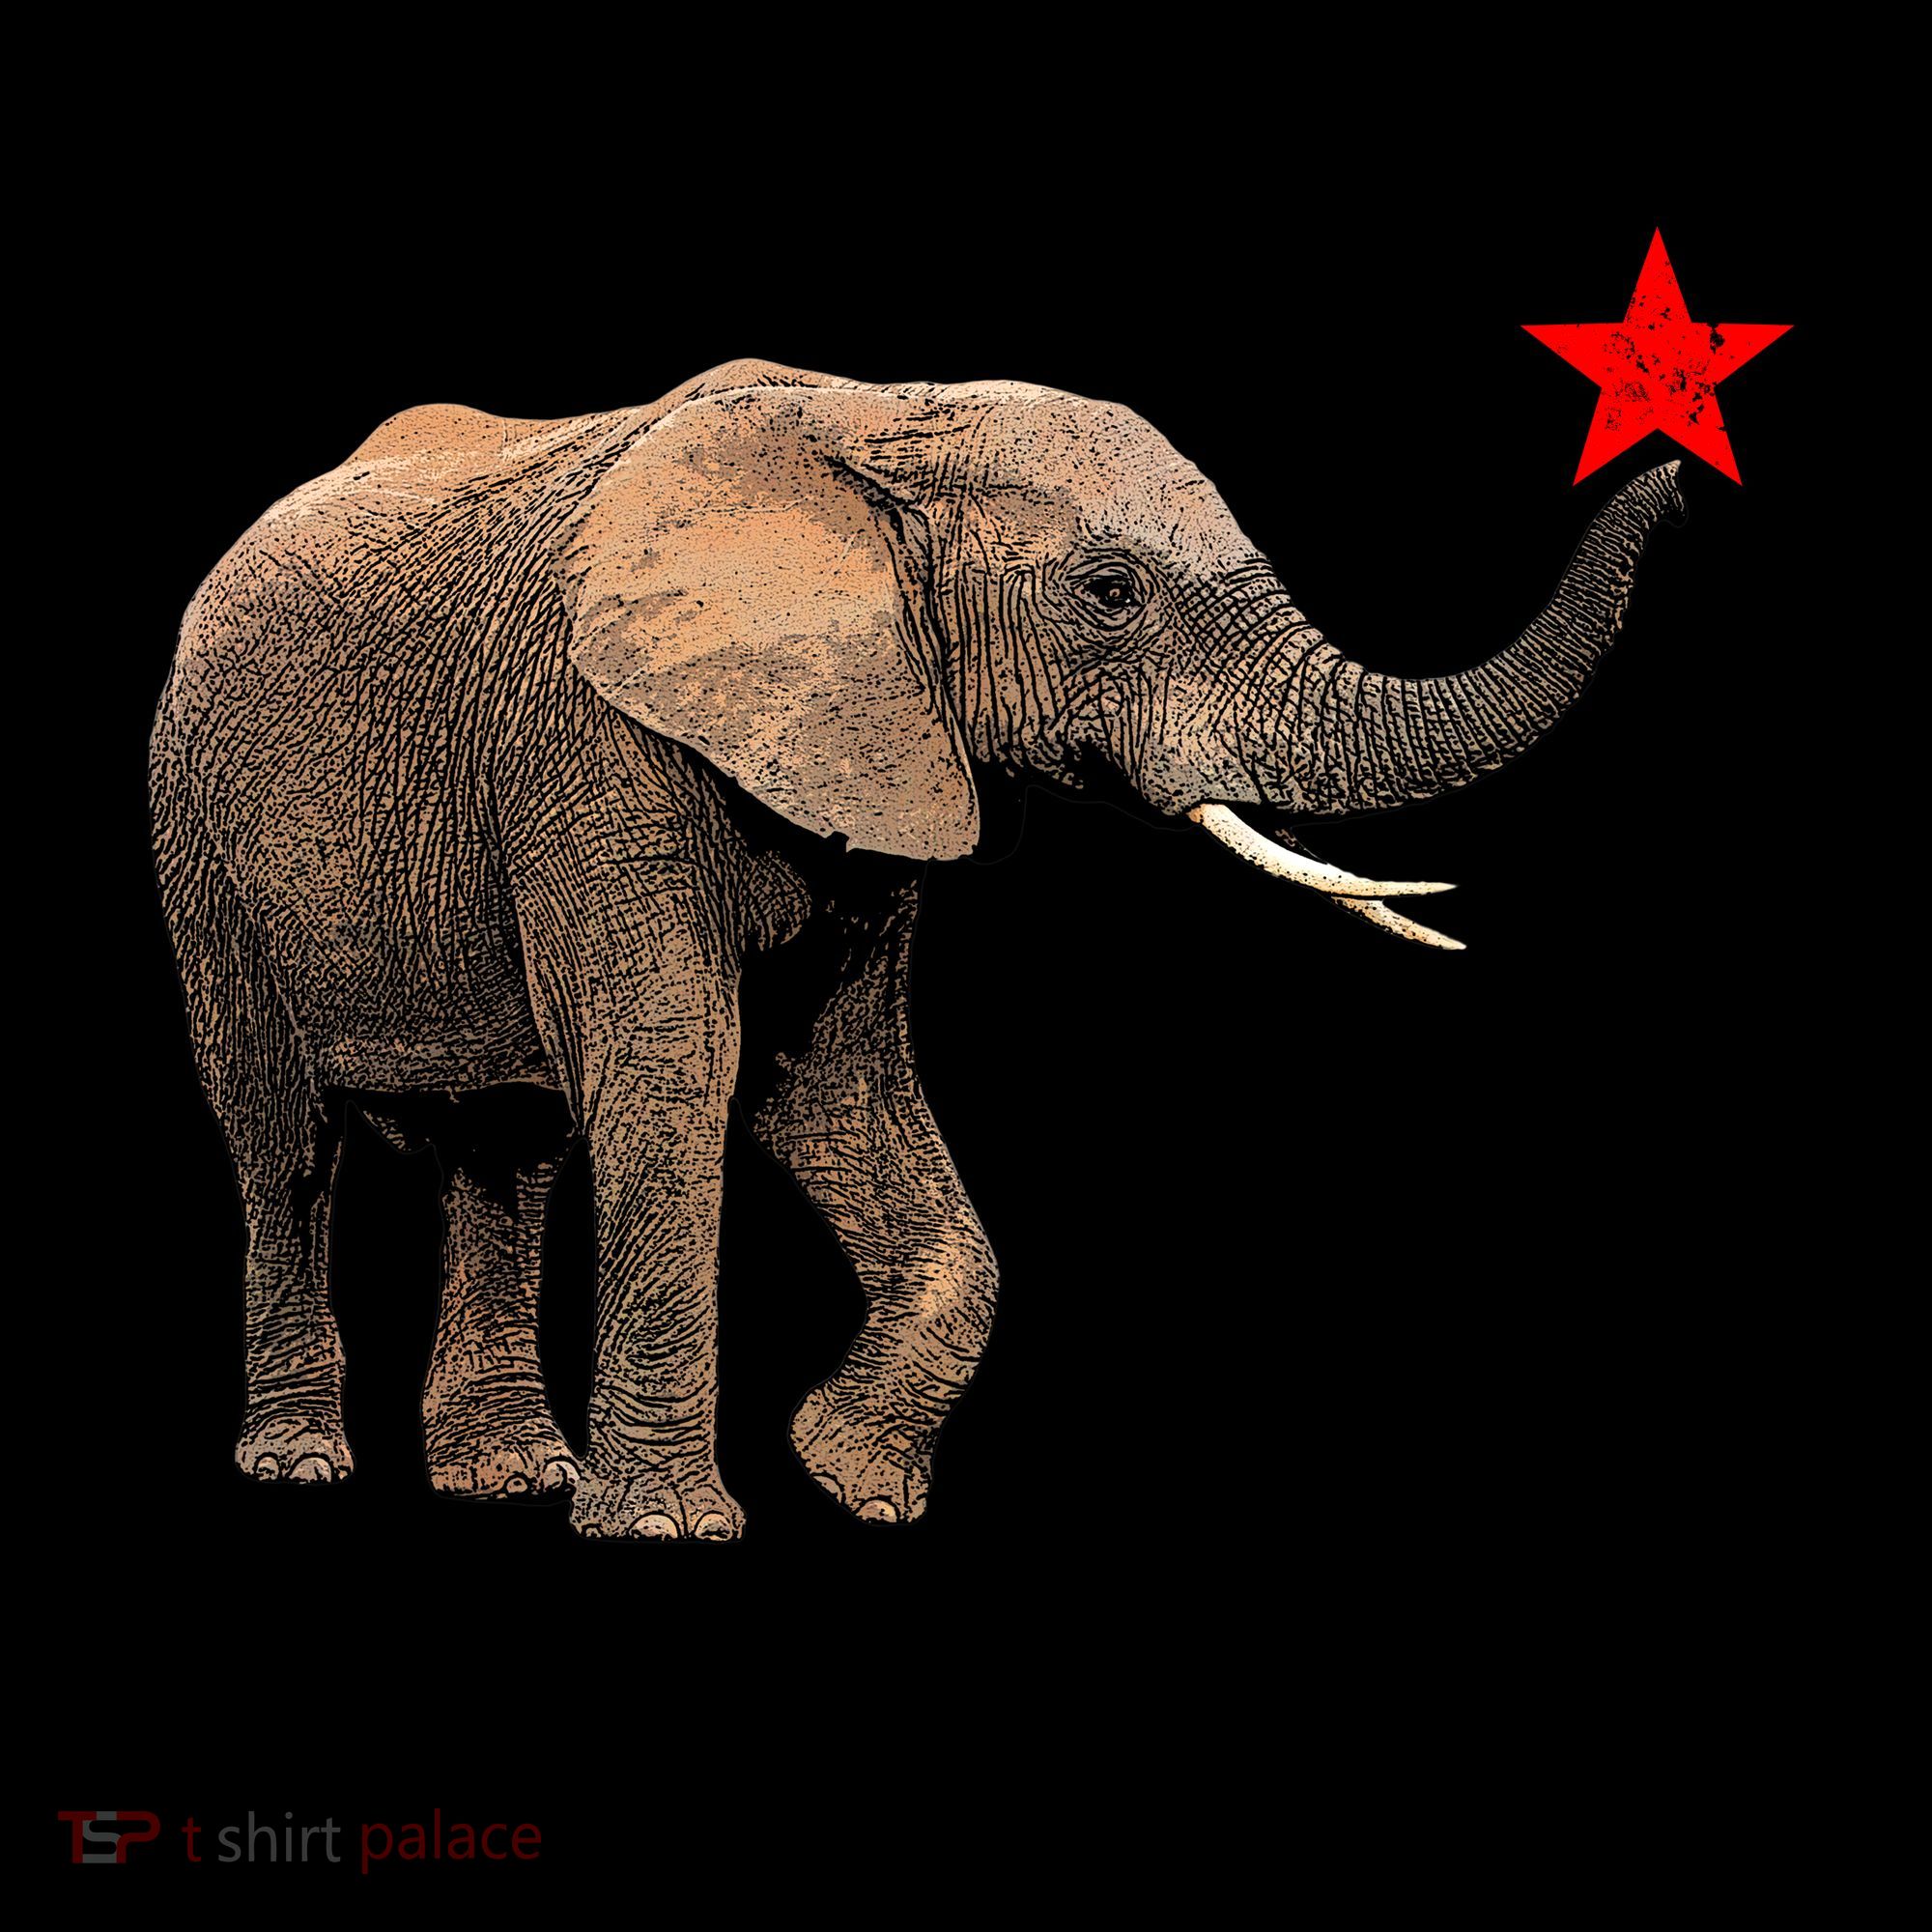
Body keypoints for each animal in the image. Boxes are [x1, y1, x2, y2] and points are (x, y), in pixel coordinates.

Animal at [150, 357, 1684, 1539]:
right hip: (198, 830)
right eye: (1110, 591)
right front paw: (672, 1530)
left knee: (504, 1151)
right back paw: (306, 1464)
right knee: (283, 1142)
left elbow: (832, 1085)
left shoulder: (875, 760)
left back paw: (507, 1479)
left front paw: (852, 1482)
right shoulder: (596, 749)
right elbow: (678, 1072)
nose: (1673, 467)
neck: (879, 421)